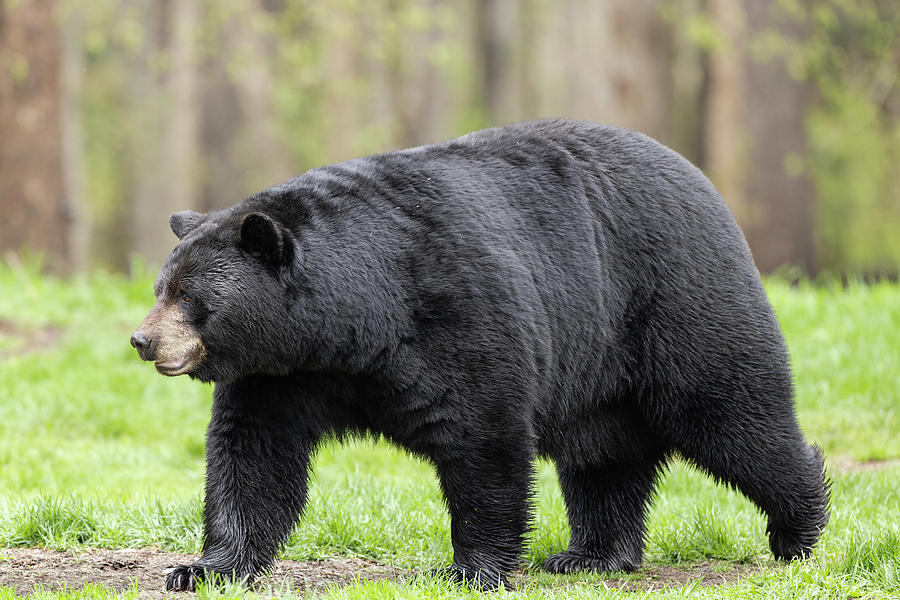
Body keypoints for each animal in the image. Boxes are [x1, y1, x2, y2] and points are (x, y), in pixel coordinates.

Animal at [132, 118, 828, 592]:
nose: (143, 341)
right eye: (162, 286)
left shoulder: (453, 313)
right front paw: (203, 567)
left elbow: (481, 434)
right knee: (604, 453)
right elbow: (254, 453)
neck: (355, 322)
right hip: (600, 364)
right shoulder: (283, 372)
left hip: (674, 301)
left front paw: (471, 567)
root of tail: (703, 182)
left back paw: (799, 527)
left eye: (192, 297)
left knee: (733, 413)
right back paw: (590, 553)